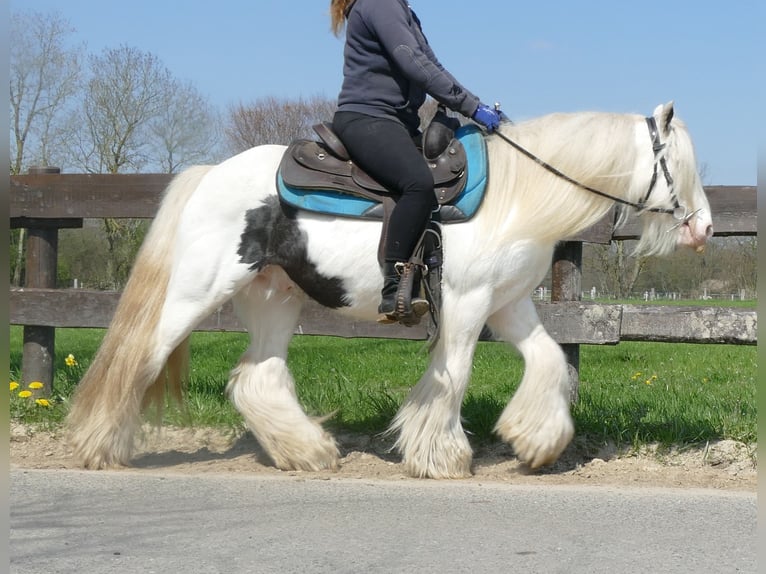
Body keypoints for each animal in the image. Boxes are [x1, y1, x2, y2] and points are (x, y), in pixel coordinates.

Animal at [64, 102, 712, 482]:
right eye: (677, 166)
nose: (704, 228)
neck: (516, 197)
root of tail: (209, 175)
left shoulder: (508, 304)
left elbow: (550, 361)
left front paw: (537, 442)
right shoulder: (467, 303)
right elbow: (454, 375)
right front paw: (440, 455)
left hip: (275, 300)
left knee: (257, 377)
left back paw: (309, 452)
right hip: (197, 292)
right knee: (137, 358)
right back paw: (99, 447)